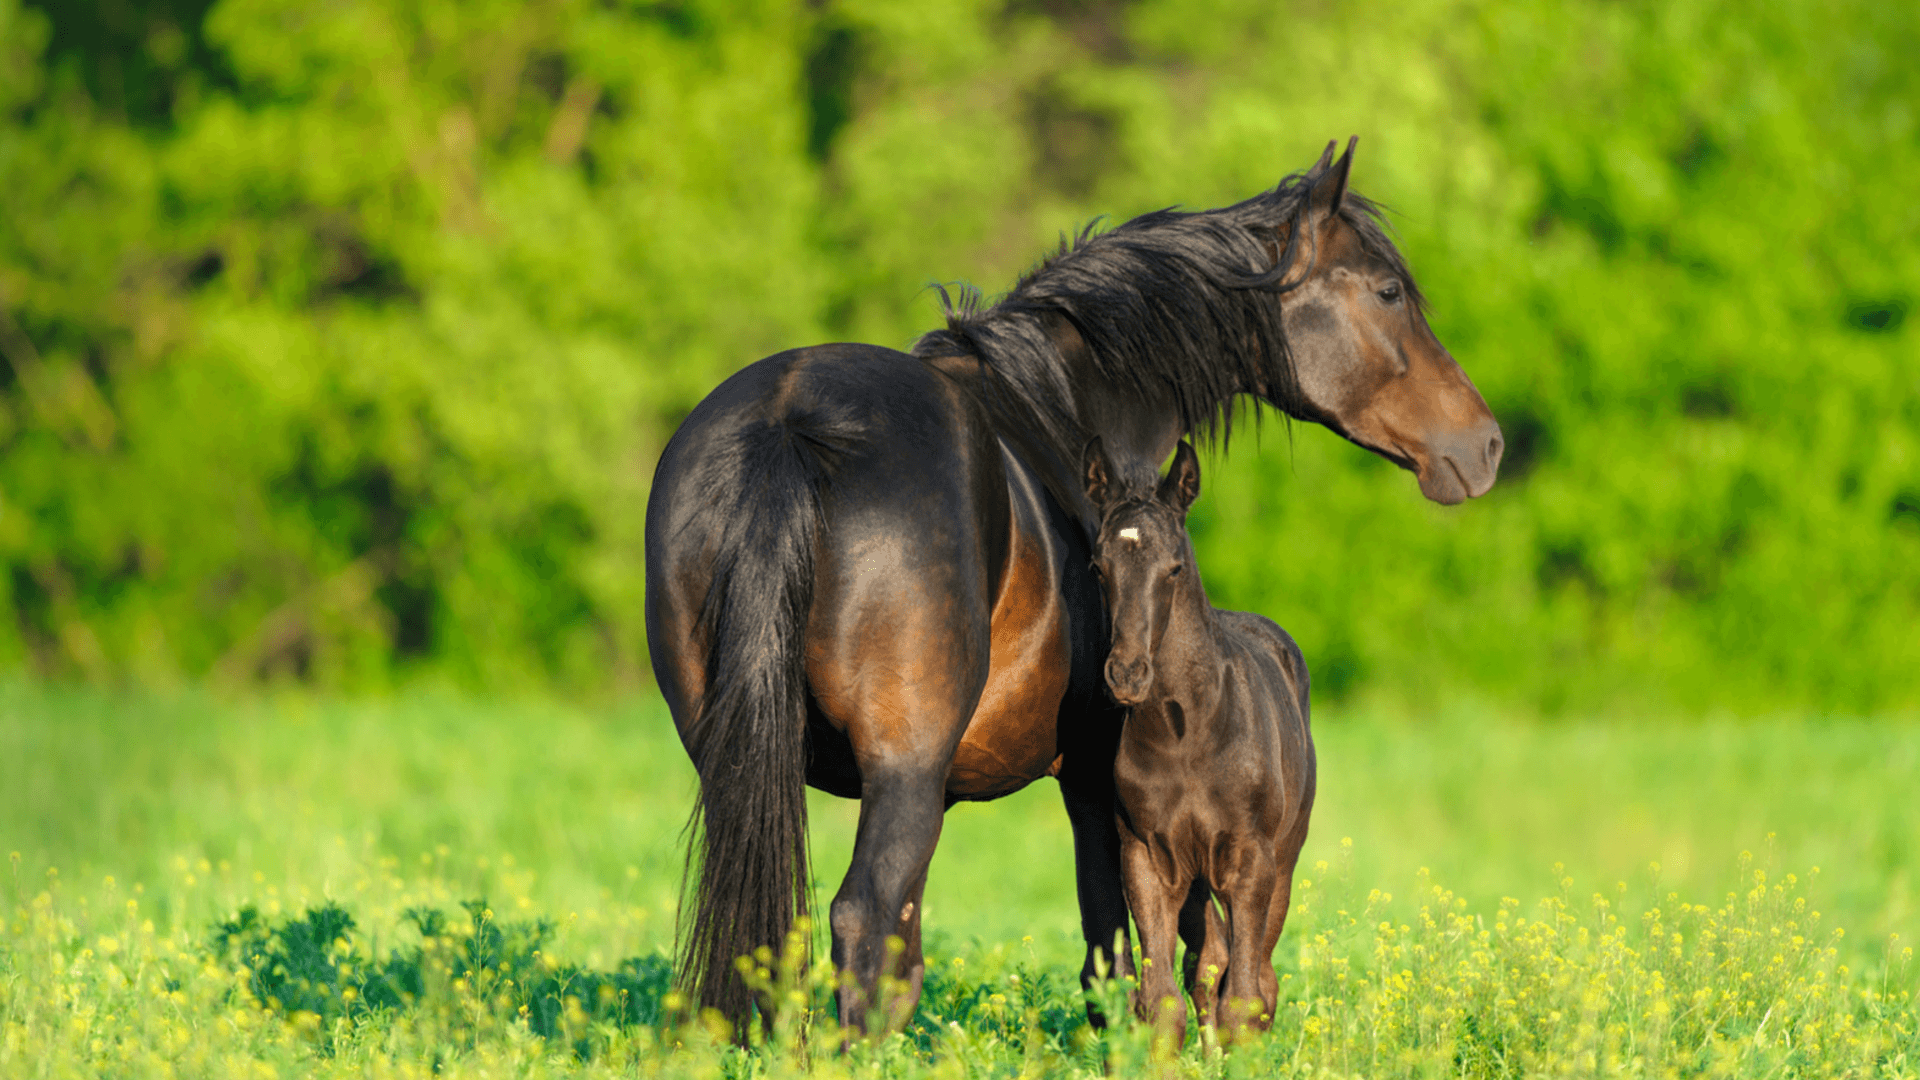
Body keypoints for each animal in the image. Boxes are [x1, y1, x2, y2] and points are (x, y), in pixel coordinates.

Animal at [1084, 438, 1315, 1047]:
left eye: (1174, 568)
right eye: (1099, 566)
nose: (1127, 674)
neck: (1185, 735)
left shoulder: (1250, 859)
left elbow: (1245, 997)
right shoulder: (1147, 856)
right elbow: (1161, 999)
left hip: (1284, 858)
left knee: (1261, 974)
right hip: (1194, 879)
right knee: (1209, 959)